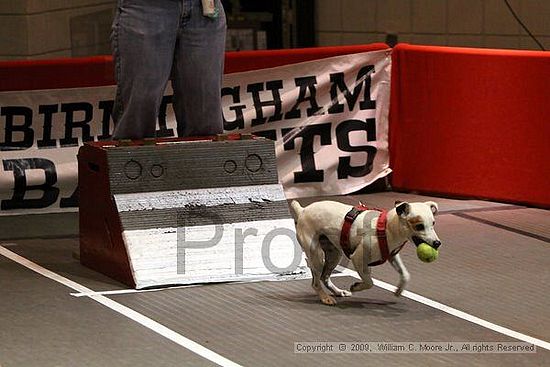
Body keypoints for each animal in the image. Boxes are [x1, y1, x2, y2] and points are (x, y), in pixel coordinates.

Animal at [292, 200, 442, 306]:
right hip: (316, 256)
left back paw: (338, 292)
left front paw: (399, 290)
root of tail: (303, 210)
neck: (387, 227)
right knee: (316, 283)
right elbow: (369, 282)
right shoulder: (358, 259)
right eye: (419, 226)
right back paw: (325, 298)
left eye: (433, 223)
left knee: (325, 277)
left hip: (334, 254)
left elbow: (405, 274)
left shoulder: (392, 256)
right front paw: (356, 286)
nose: (437, 243)